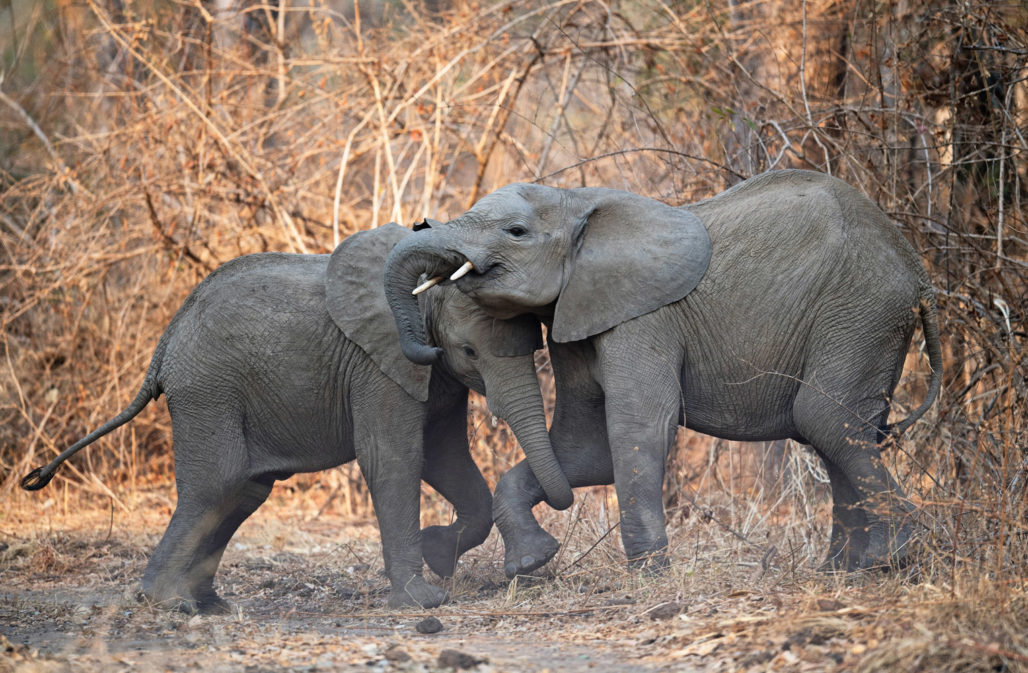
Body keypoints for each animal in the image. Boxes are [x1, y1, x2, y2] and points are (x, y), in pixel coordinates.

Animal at [22, 223, 571, 612]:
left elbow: (445, 457)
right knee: (218, 484)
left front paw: (440, 551)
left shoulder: (430, 377)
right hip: (207, 390)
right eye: (470, 351)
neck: (420, 294)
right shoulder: (379, 364)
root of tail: (164, 346)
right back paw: (169, 603)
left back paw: (208, 605)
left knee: (244, 490)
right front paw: (424, 600)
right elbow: (395, 458)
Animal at [384, 169, 941, 579]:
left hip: (861, 311)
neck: (578, 201)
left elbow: (637, 425)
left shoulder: (643, 317)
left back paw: (887, 559)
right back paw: (843, 571)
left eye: (515, 233)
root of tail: (919, 271)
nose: (420, 225)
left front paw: (648, 574)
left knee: (824, 417)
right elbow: (582, 447)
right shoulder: (578, 311)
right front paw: (530, 562)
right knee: (835, 430)